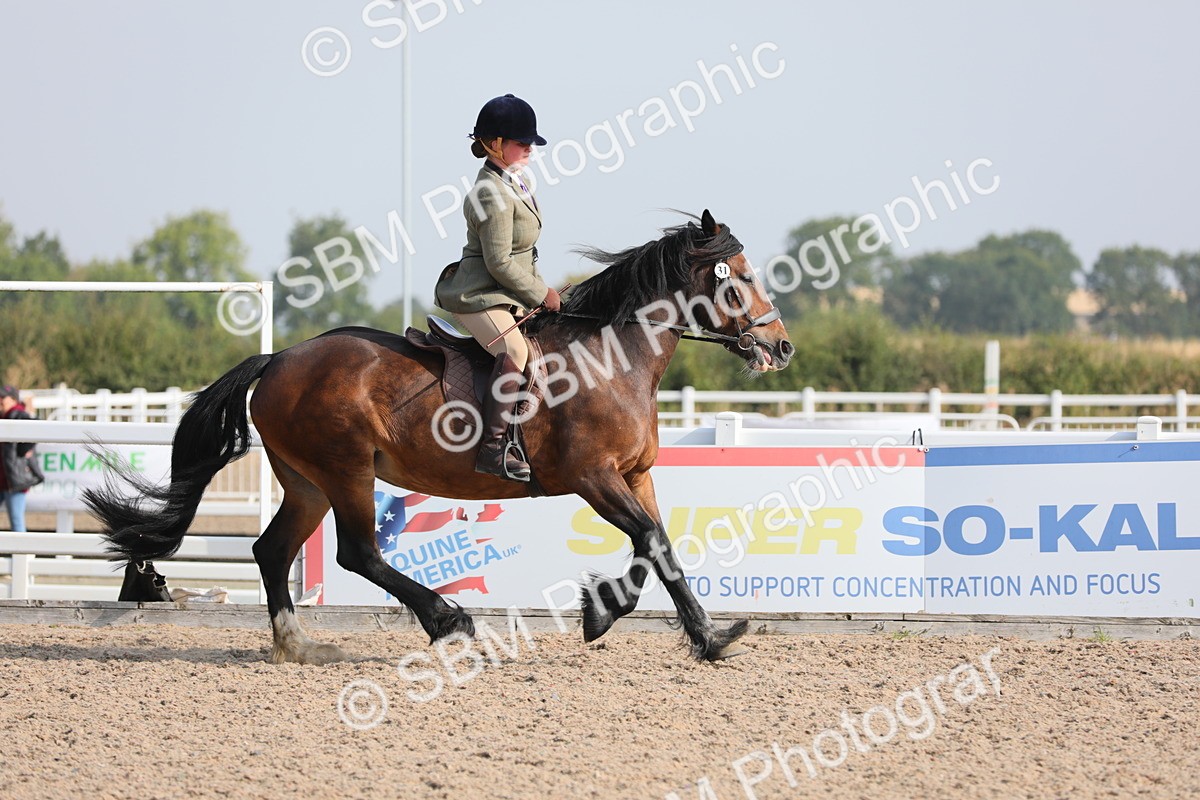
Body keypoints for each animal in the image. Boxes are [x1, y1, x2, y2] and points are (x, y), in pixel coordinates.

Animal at [83, 209, 794, 664]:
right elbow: (651, 542)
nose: (782, 346)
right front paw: (606, 614)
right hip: (346, 470)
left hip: (306, 480)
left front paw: (704, 638)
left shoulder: (635, 475)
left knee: (271, 550)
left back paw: (298, 645)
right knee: (357, 553)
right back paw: (448, 620)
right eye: (738, 275)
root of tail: (280, 357)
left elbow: (661, 549)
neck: (614, 358)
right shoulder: (592, 478)